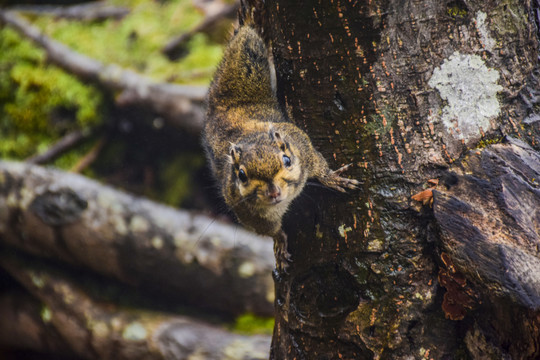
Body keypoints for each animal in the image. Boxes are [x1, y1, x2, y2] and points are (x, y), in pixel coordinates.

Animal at [202, 21, 358, 236]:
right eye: (241, 175)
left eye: (287, 160)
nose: (273, 192)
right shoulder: (241, 207)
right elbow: (268, 228)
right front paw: (279, 238)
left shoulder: (302, 147)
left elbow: (317, 162)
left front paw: (331, 178)